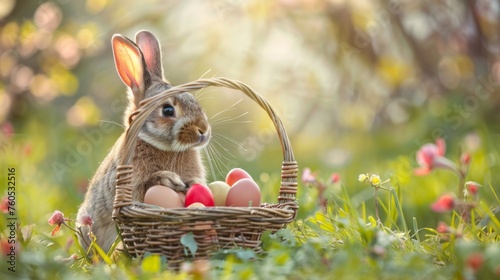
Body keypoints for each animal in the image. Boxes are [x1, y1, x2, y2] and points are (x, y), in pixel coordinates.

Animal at [76, 30, 211, 252]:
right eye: (167, 110)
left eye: (195, 101)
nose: (204, 130)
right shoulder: (131, 189)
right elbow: (147, 186)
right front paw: (168, 180)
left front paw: (193, 184)